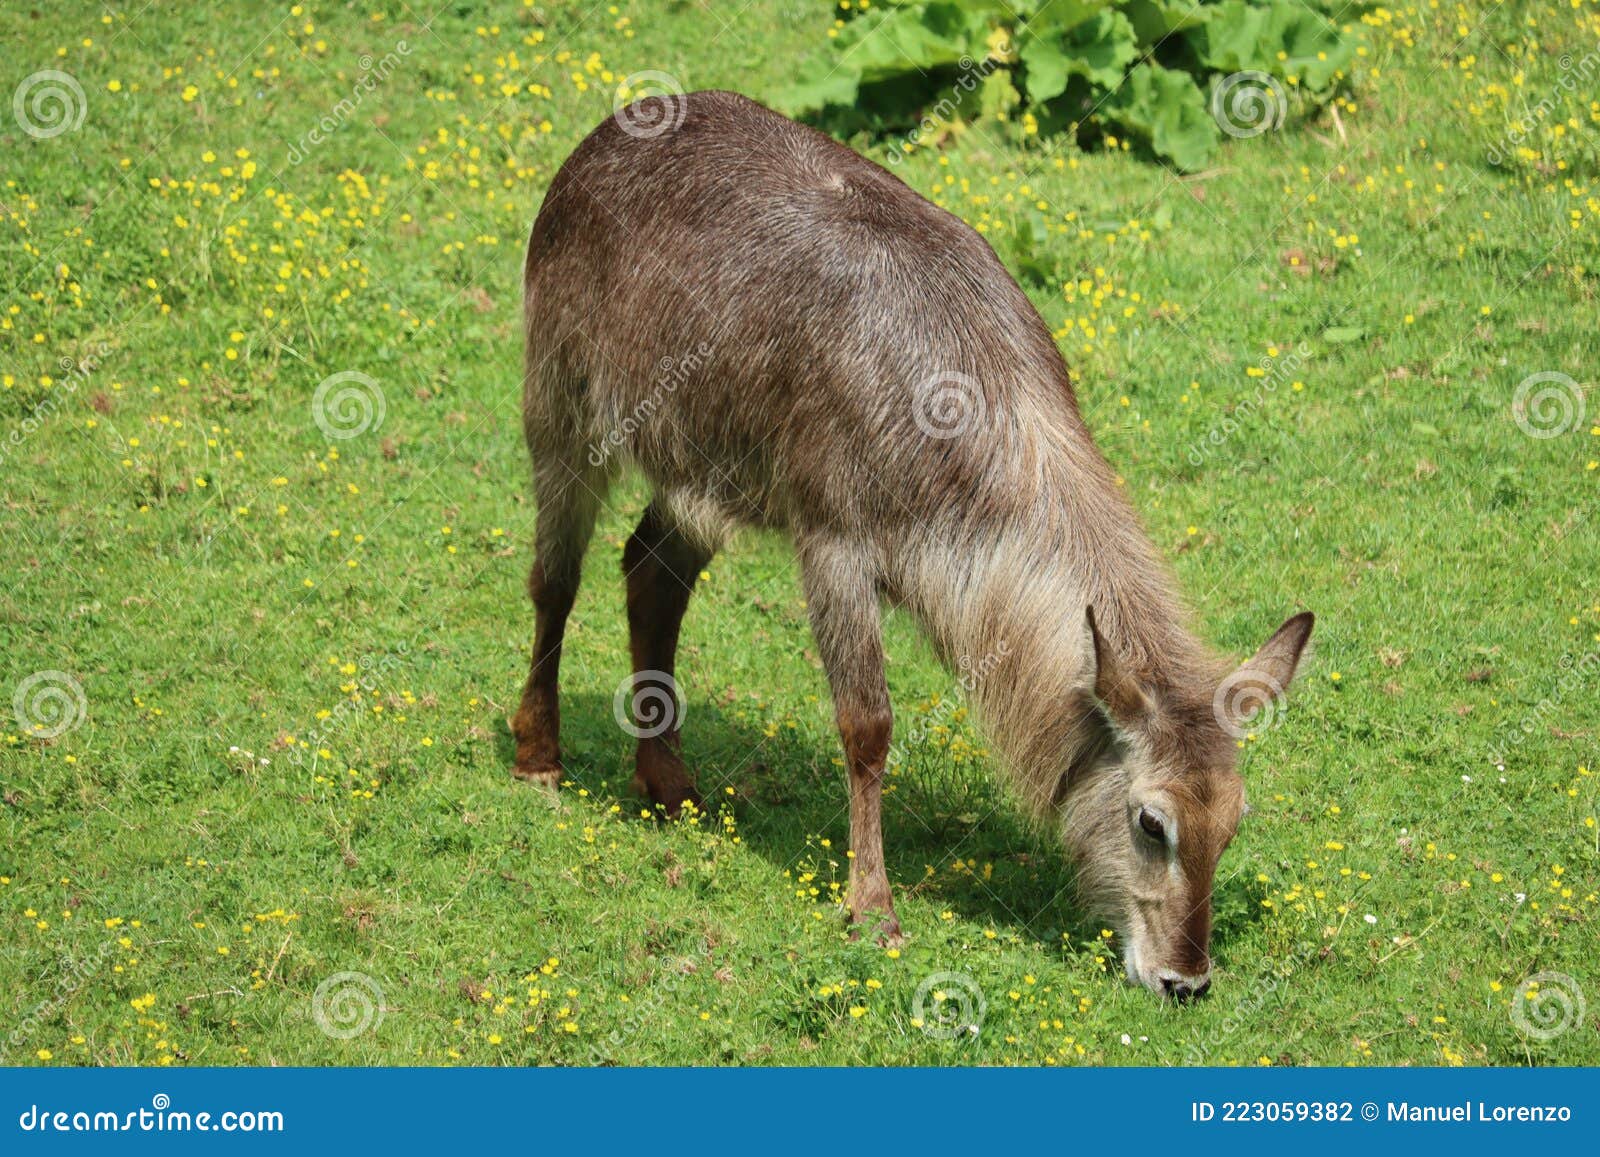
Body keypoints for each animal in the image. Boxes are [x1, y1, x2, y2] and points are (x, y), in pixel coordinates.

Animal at [512, 90, 1312, 998]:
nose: (1185, 980)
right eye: (1152, 821)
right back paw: (538, 752)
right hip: (563, 414)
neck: (963, 395)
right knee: (554, 579)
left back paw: (669, 783)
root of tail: (618, 124)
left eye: (1233, 821)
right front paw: (872, 907)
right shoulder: (833, 545)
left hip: (700, 475)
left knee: (650, 573)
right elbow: (867, 727)